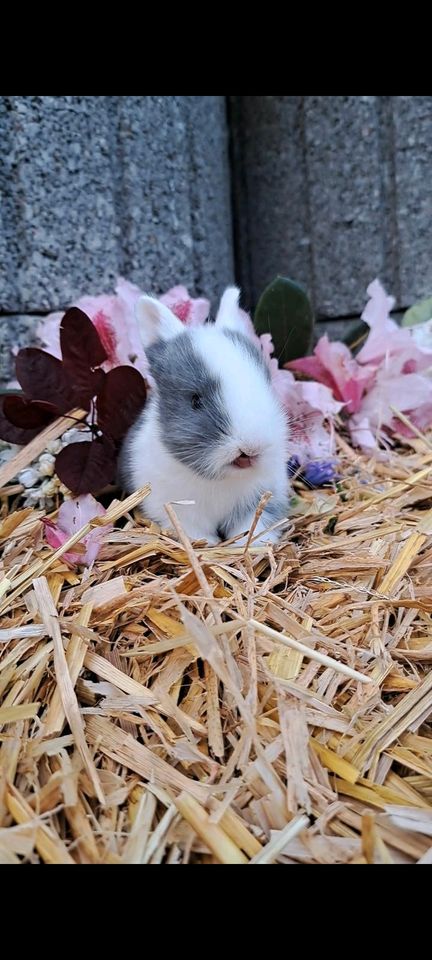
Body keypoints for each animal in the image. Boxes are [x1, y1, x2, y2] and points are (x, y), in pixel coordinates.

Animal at [120, 284, 292, 544]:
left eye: (267, 384)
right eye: (195, 400)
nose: (251, 448)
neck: (221, 481)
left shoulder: (262, 496)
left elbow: (253, 526)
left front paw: (252, 545)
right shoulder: (178, 510)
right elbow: (197, 535)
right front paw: (209, 545)